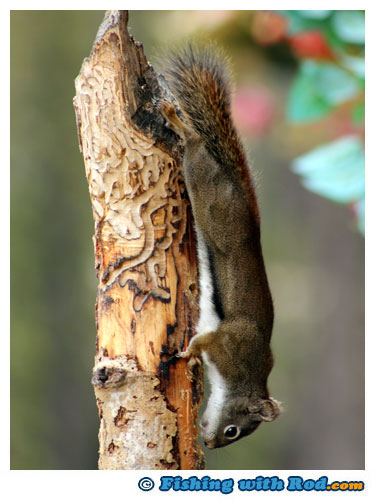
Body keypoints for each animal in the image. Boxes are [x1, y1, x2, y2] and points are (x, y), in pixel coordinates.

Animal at [160, 44, 280, 450]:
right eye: (233, 431)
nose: (210, 444)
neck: (243, 378)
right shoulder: (225, 344)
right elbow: (202, 342)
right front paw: (186, 354)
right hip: (209, 196)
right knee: (196, 148)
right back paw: (180, 125)